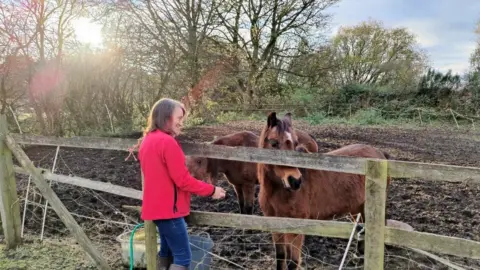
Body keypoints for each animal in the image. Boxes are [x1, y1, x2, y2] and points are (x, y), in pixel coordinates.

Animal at [187, 129, 318, 215]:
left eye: (199, 160)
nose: (190, 178)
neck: (234, 156)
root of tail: (310, 137)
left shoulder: (248, 185)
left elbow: (248, 207)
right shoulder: (237, 185)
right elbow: (241, 205)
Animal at [258, 112, 390, 270]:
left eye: (295, 143)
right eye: (274, 143)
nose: (295, 181)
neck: (278, 191)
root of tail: (380, 154)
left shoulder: (295, 227)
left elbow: (292, 262)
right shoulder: (274, 224)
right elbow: (280, 256)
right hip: (357, 207)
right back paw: (358, 257)